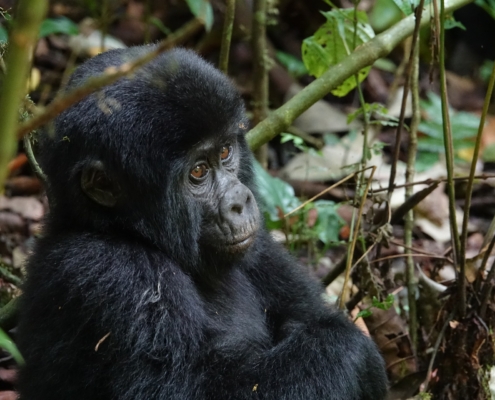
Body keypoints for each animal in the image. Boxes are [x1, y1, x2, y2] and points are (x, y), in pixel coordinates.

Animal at [15, 47, 390, 400]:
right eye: (198, 171)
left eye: (225, 152)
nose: (240, 201)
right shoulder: (109, 271)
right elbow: (193, 390)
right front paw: (354, 351)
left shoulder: (260, 247)